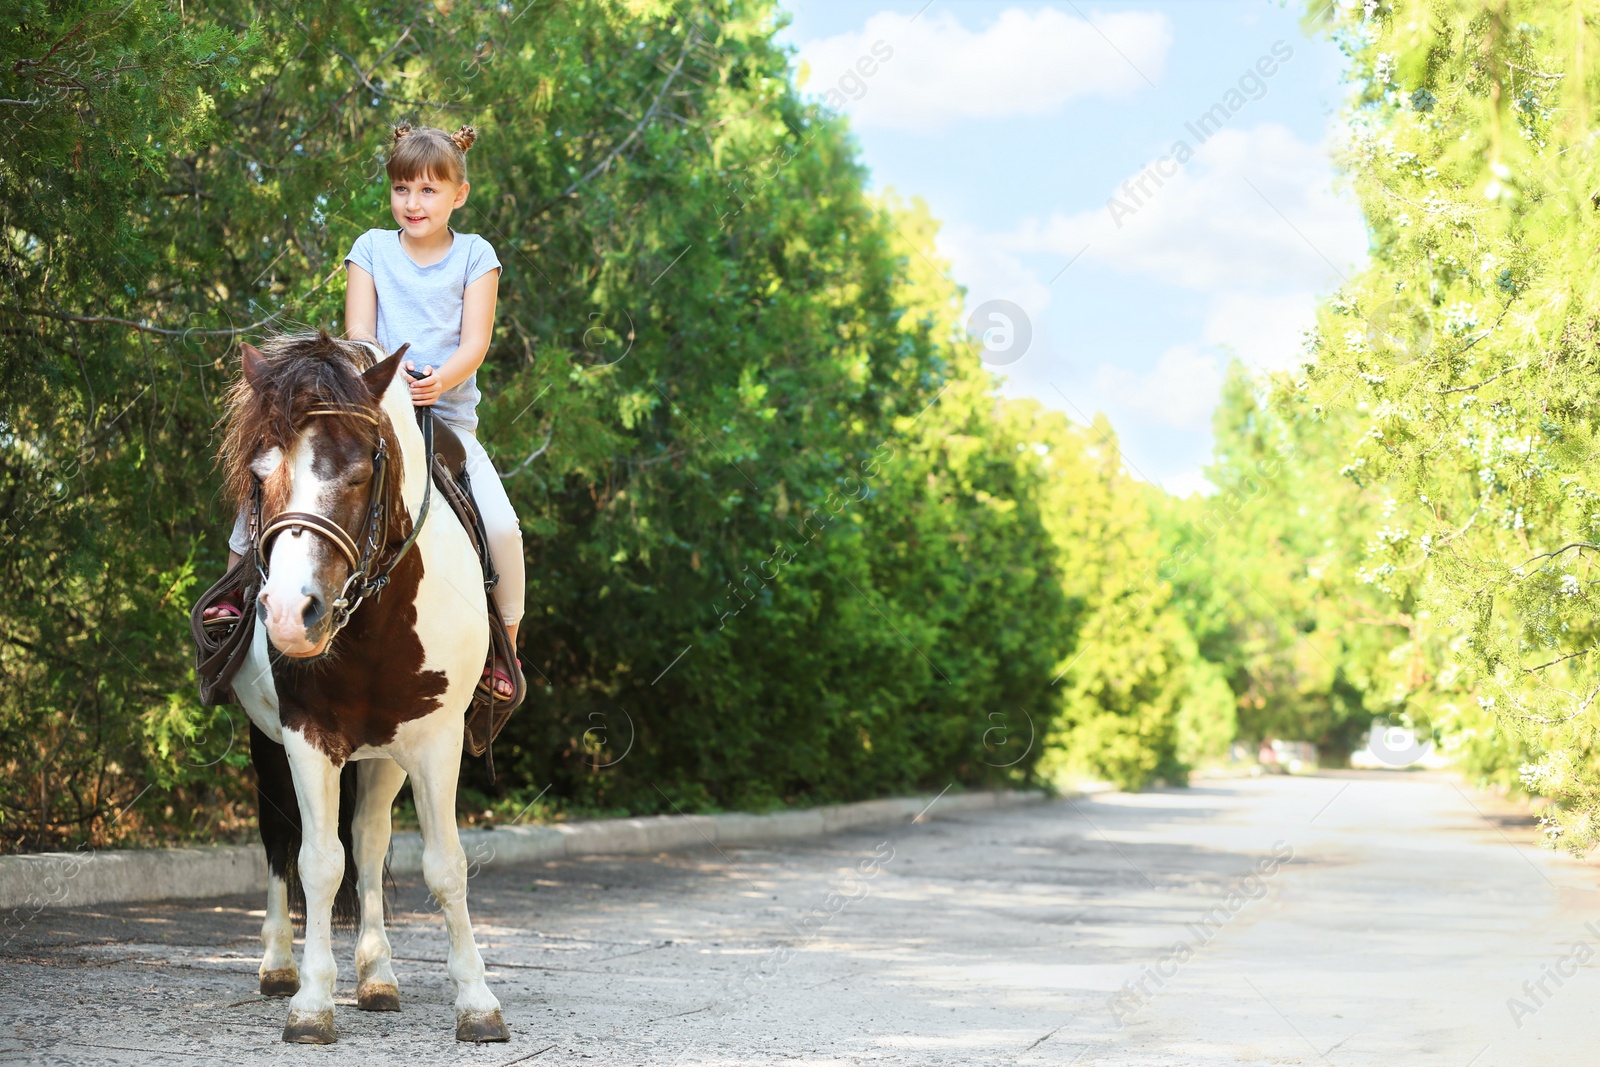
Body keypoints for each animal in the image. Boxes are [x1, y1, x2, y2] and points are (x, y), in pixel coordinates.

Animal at [224, 331, 505, 1043]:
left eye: (357, 474)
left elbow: (444, 865)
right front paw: (311, 1004)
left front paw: (477, 1001)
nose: (290, 615)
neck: (376, 620)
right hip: (267, 745)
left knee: (371, 838)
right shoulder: (305, 736)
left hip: (384, 757)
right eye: (259, 476)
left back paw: (377, 975)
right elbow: (317, 863)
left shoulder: (435, 741)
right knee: (279, 839)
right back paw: (278, 965)